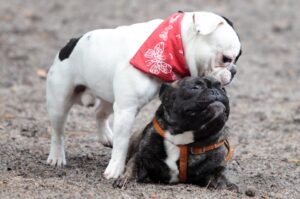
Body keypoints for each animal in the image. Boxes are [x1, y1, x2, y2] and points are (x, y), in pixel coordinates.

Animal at [45, 11, 241, 179]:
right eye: (226, 59)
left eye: (237, 58)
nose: (234, 71)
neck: (173, 47)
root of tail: (71, 43)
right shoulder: (127, 109)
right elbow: (122, 142)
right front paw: (116, 169)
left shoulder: (125, 106)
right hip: (59, 102)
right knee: (58, 131)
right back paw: (56, 156)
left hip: (109, 96)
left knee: (100, 112)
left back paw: (106, 136)